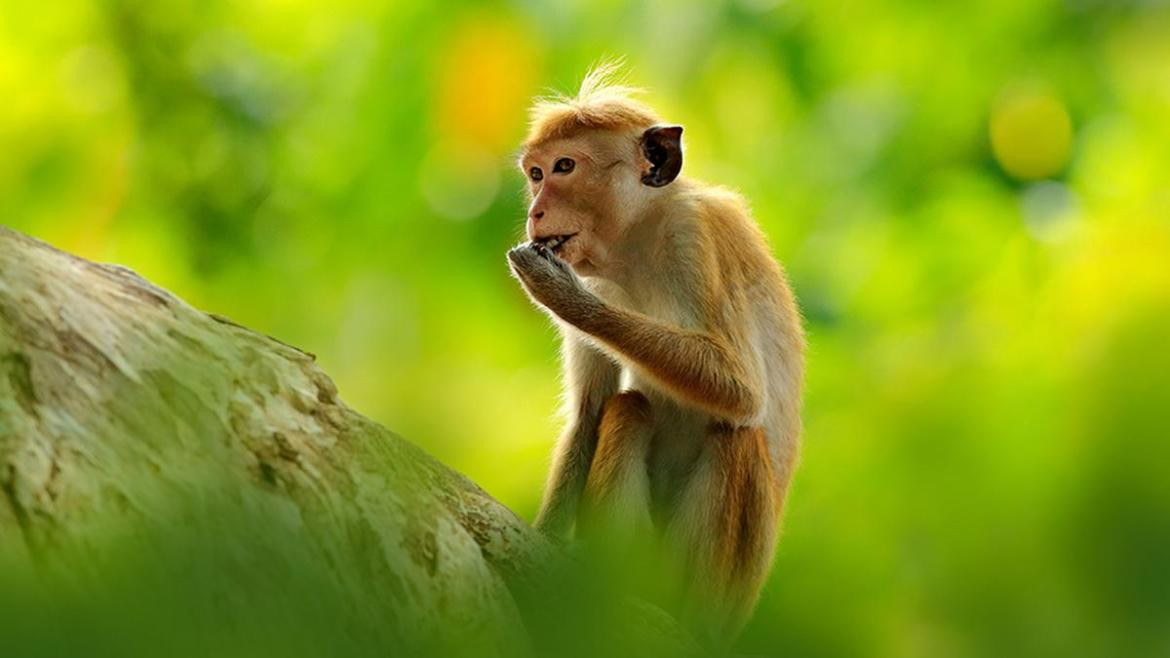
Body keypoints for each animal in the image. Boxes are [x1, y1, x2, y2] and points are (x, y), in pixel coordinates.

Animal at [503, 65, 804, 641]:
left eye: (564, 167)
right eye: (535, 173)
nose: (535, 211)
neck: (635, 247)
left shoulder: (695, 239)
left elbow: (741, 390)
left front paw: (563, 297)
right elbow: (590, 412)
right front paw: (543, 539)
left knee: (737, 435)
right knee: (628, 408)